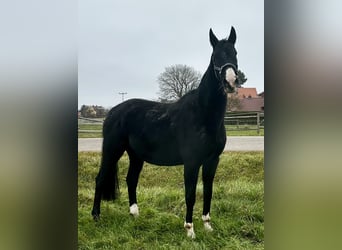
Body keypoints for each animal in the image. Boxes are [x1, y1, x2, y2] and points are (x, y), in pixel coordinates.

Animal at [91, 27, 238, 238]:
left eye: (235, 53)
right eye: (214, 56)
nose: (231, 81)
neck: (203, 114)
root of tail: (113, 111)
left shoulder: (212, 160)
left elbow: (208, 192)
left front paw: (208, 226)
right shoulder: (192, 162)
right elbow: (190, 194)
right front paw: (190, 230)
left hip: (136, 155)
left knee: (131, 180)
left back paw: (135, 214)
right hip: (112, 150)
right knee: (100, 179)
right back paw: (96, 216)